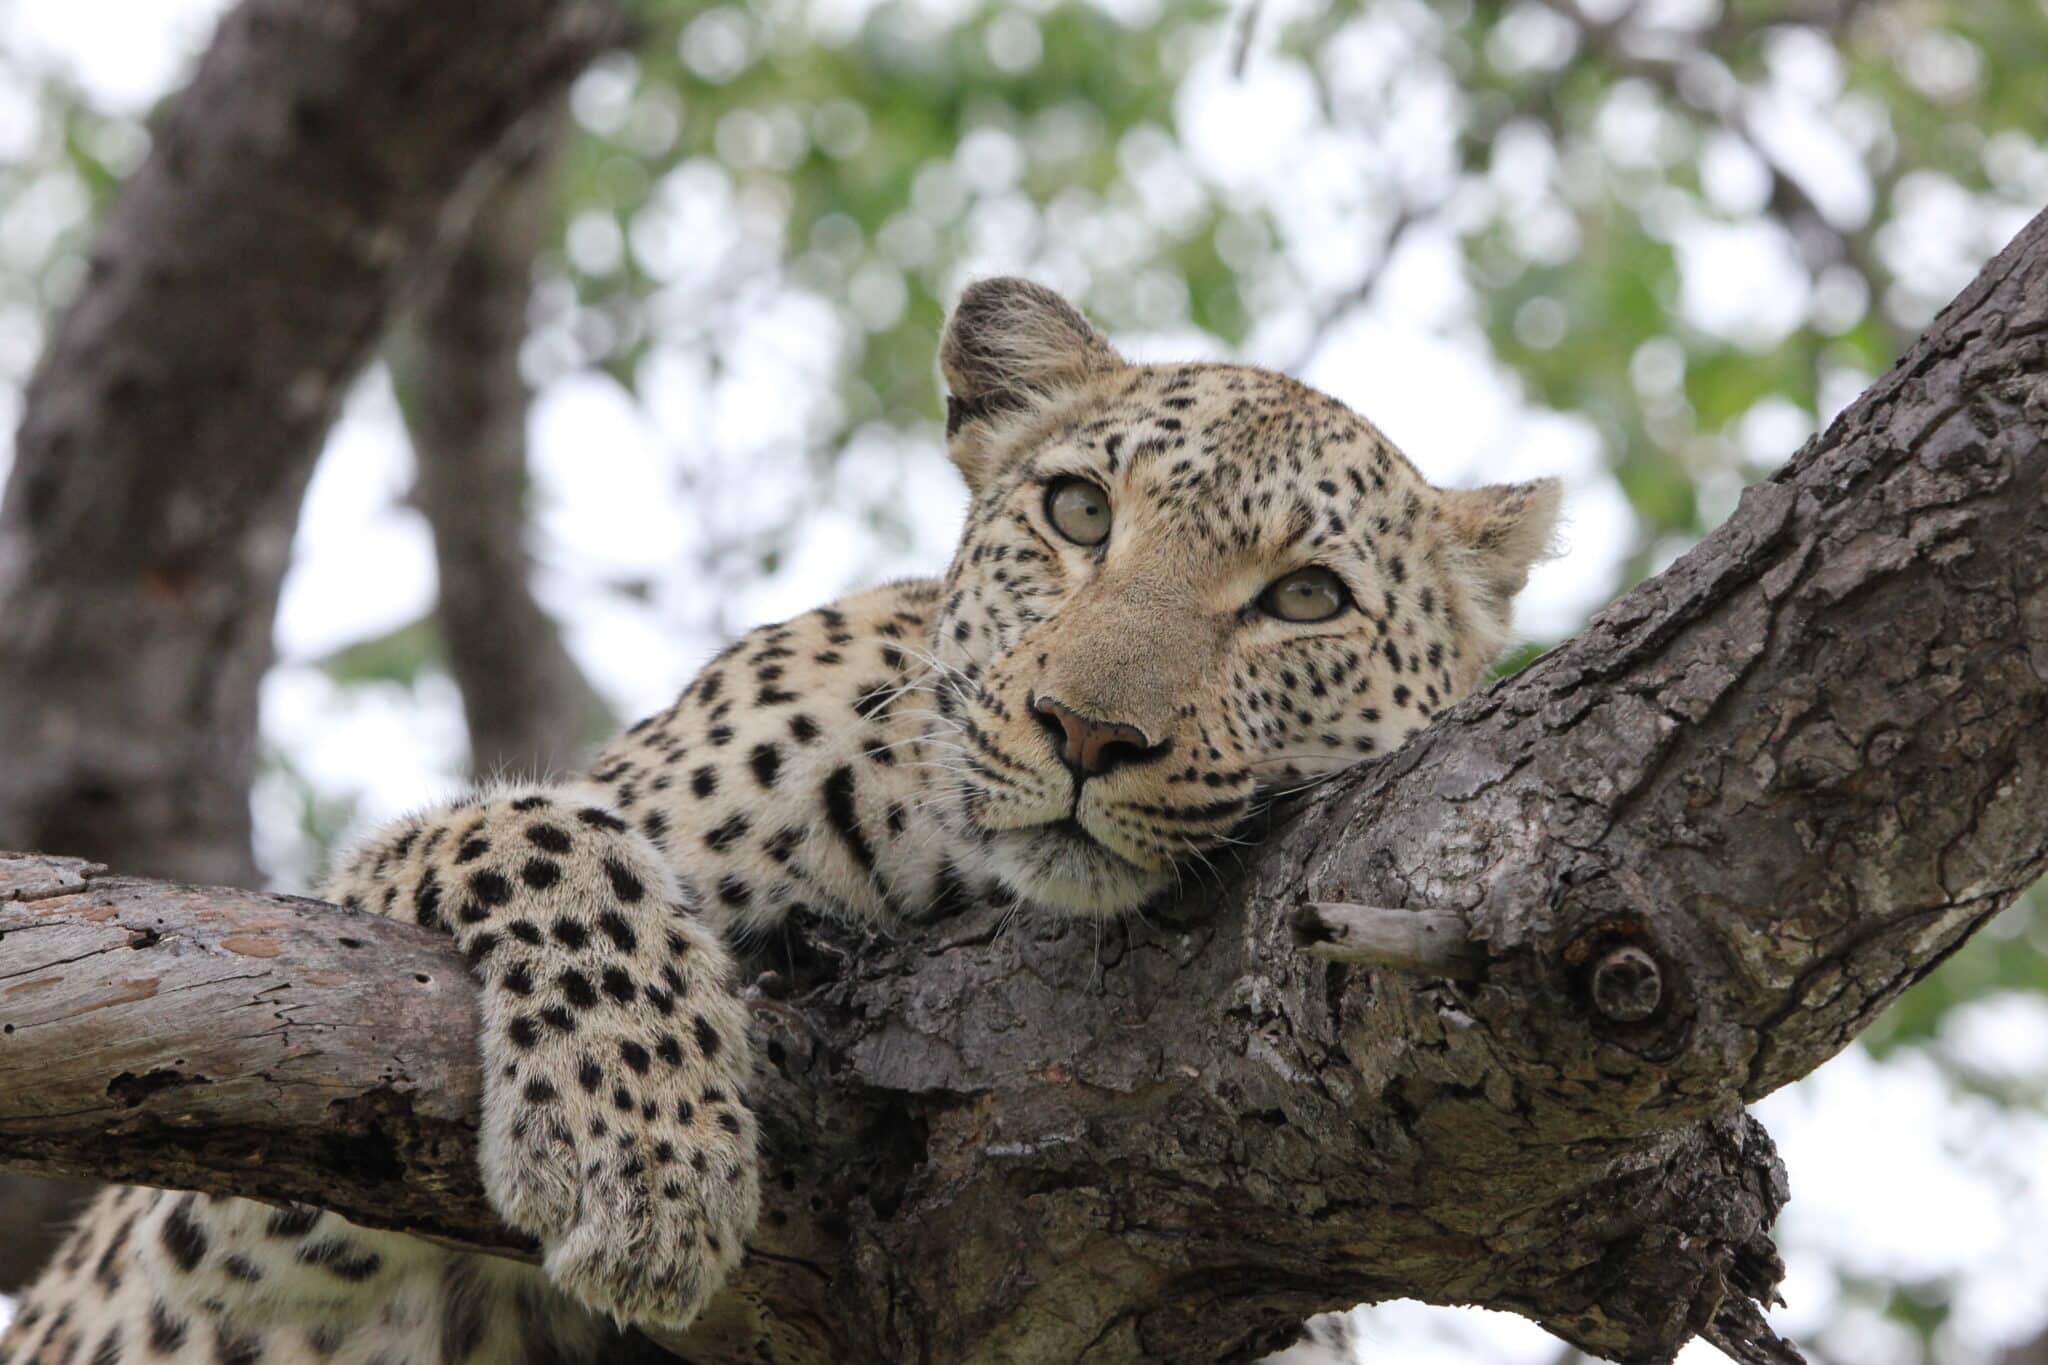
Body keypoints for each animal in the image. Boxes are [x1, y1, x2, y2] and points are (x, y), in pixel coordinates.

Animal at [0, 277, 1559, 1364]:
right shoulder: (205, 1234)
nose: (1086, 731)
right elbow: (553, 837)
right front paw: (644, 1153)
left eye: (1305, 599)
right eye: (1075, 511)